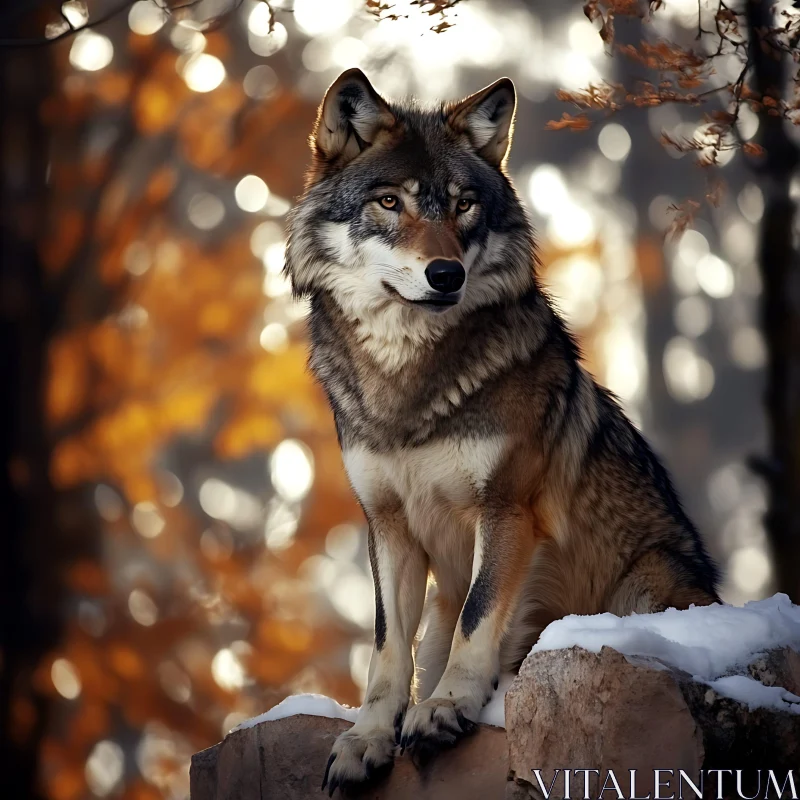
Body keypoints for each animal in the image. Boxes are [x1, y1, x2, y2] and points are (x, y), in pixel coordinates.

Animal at [284, 69, 720, 792]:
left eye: (464, 206)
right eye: (390, 203)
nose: (446, 274)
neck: (408, 384)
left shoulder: (507, 507)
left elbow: (479, 615)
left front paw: (446, 708)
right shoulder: (388, 525)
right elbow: (386, 648)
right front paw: (369, 739)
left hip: (647, 581)